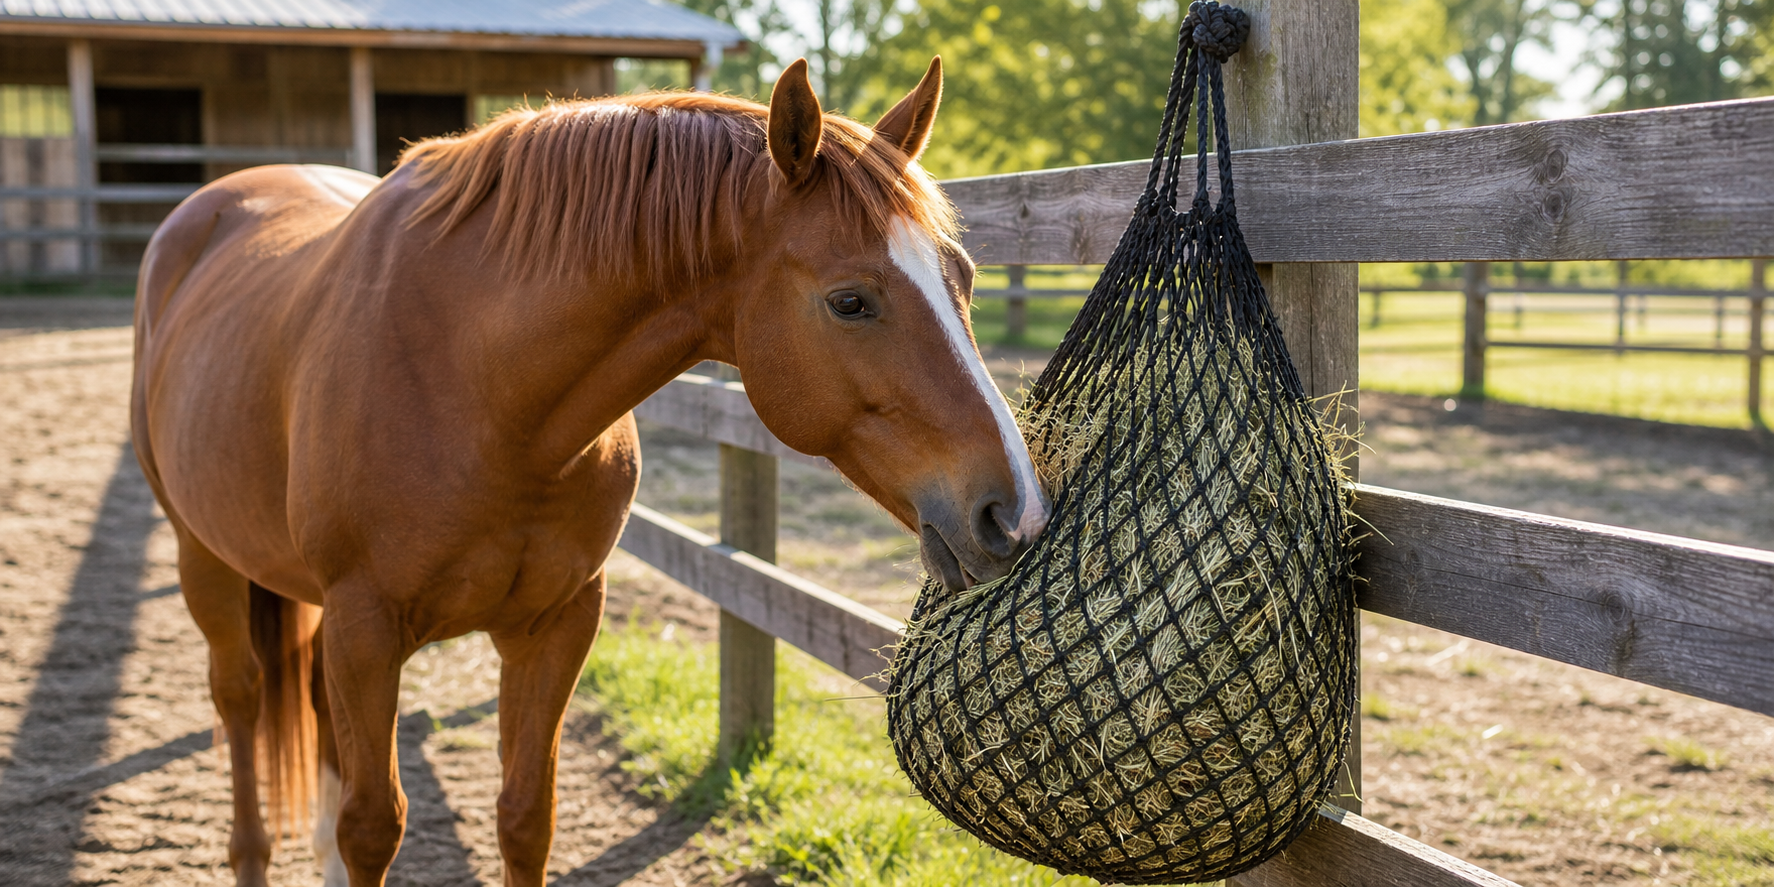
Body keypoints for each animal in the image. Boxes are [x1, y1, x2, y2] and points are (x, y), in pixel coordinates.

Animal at [129, 56, 1048, 886]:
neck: (479, 387)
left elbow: (524, 815)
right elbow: (372, 826)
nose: (1017, 513)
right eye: (850, 300)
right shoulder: (366, 627)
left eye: (964, 276)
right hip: (204, 559)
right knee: (241, 699)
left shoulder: (558, 621)